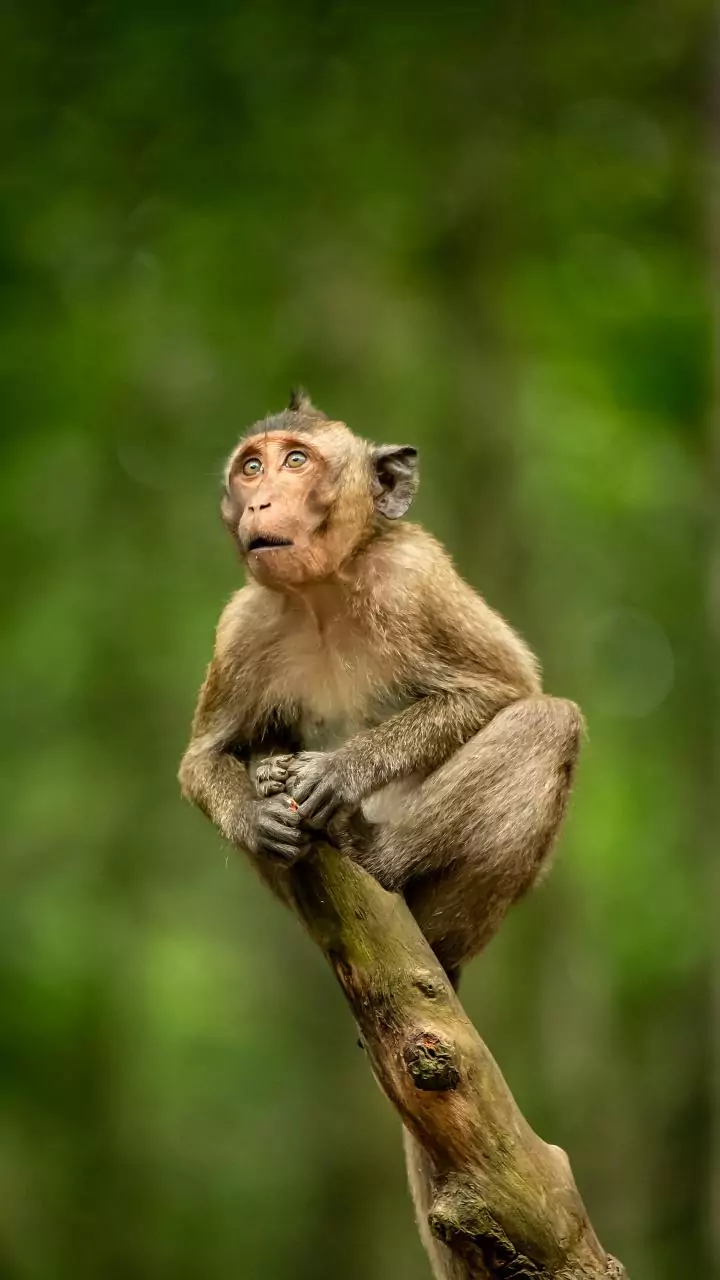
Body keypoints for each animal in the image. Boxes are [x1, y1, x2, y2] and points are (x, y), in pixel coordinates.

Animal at [178, 389, 582, 986]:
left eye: (295, 461)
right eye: (251, 468)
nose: (259, 505)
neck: (322, 593)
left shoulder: (413, 576)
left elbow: (502, 688)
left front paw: (341, 770)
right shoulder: (241, 627)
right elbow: (203, 757)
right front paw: (256, 814)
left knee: (550, 722)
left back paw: (372, 851)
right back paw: (271, 777)